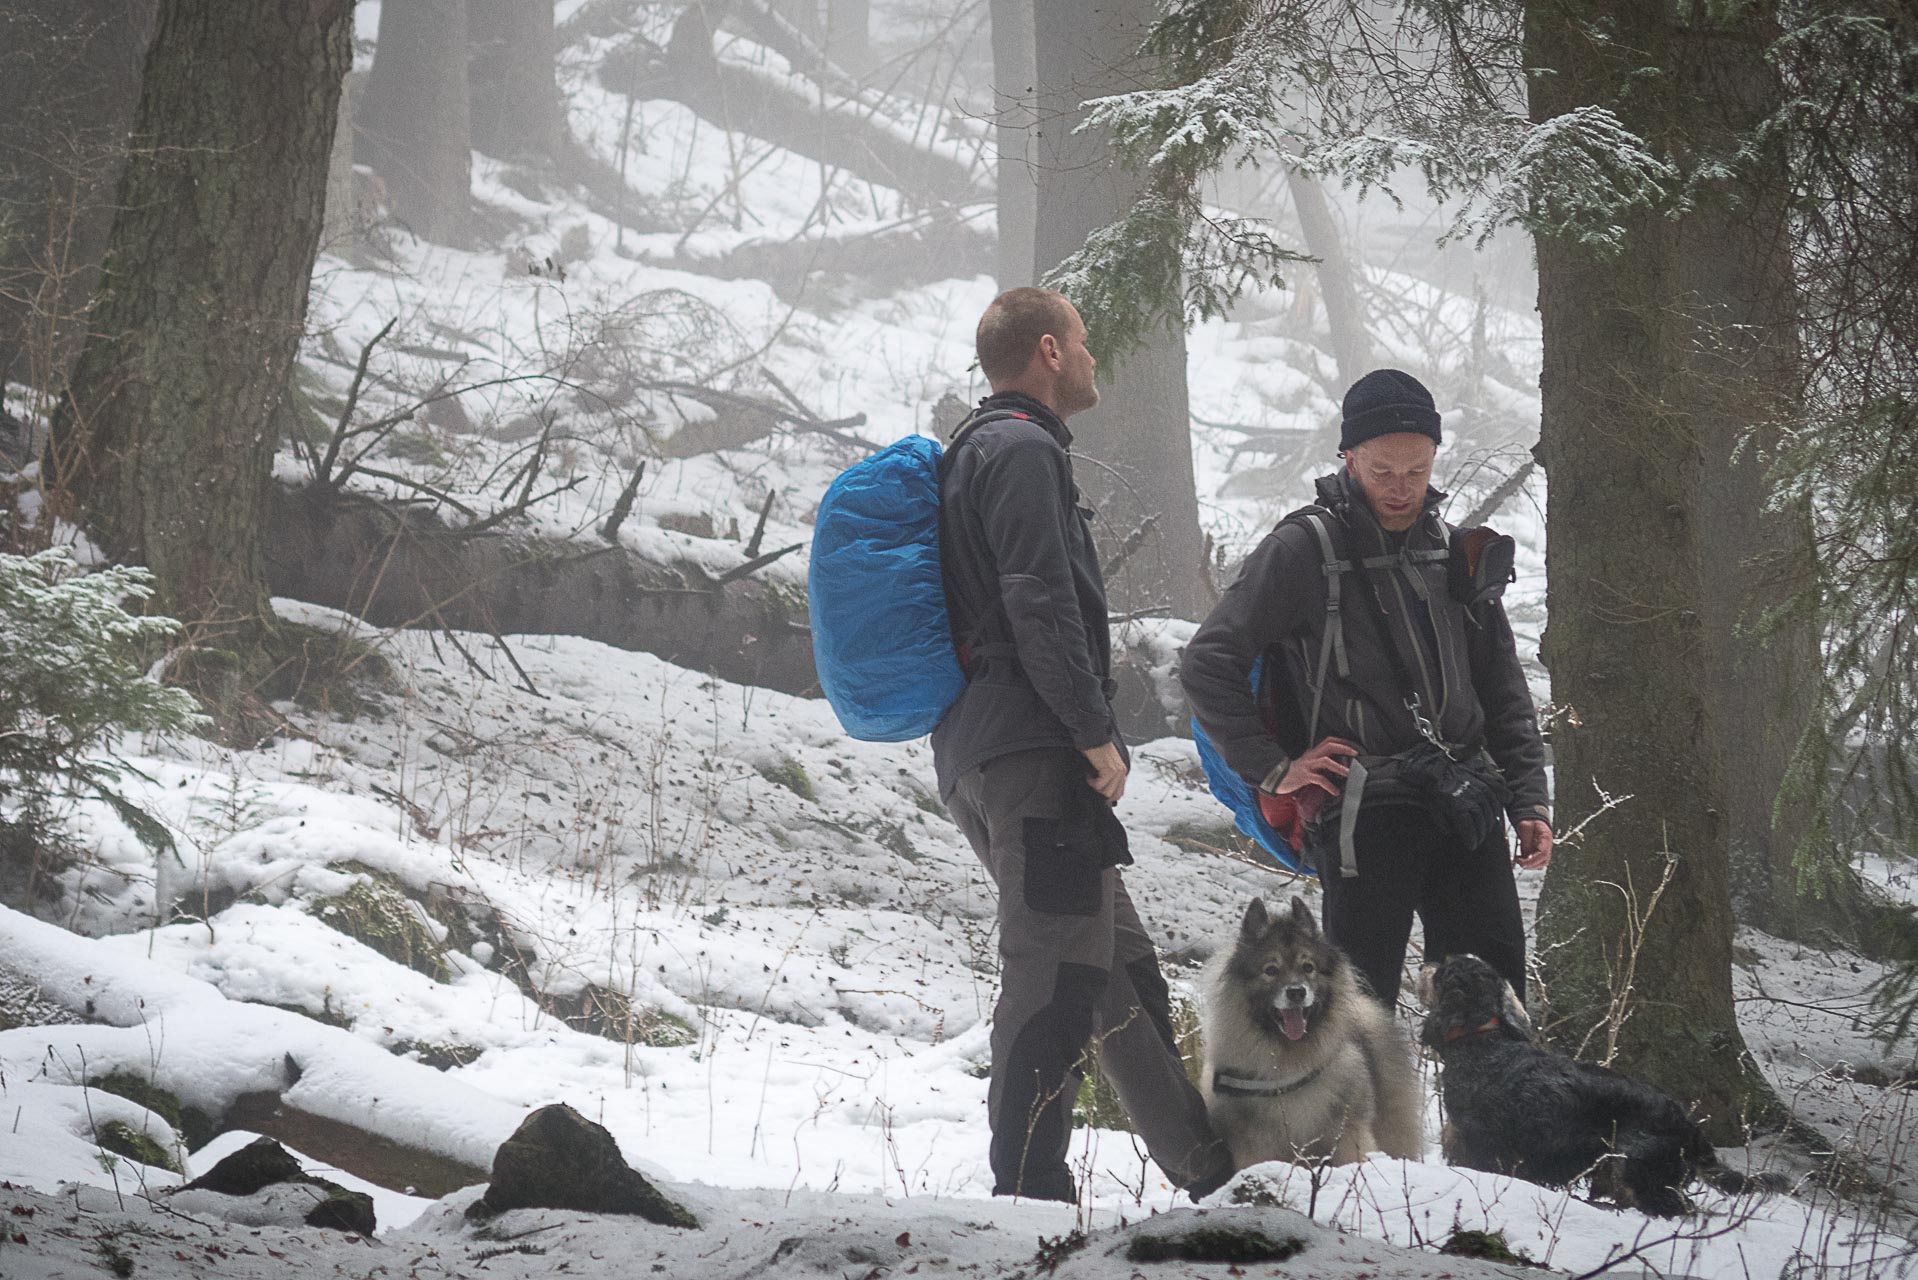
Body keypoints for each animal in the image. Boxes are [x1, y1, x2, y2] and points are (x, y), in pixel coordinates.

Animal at [1196, 901, 1426, 1174]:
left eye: (1308, 967)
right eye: (1270, 970)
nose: (1296, 992)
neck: (1289, 1061)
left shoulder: (1348, 1134)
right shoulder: (1254, 1144)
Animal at [1419, 955, 1772, 1220]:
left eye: (1444, 969)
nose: (1427, 964)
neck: (1483, 1041)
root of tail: (1689, 1125)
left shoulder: (1474, 1140)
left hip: (1635, 1167)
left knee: (1672, 1206)